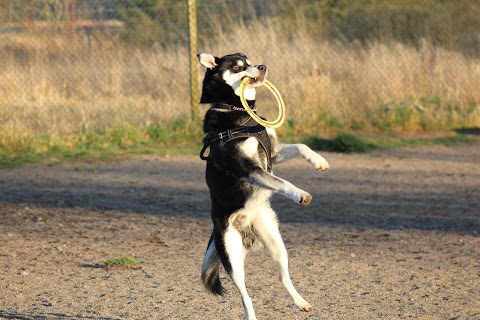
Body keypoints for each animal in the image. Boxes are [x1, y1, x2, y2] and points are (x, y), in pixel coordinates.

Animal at [197, 52, 328, 320]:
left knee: (283, 277)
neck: (239, 112)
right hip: (232, 257)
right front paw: (299, 194)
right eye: (238, 67)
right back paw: (252, 314)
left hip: (276, 243)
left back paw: (301, 302)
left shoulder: (274, 153)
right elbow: (281, 182)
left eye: (248, 59)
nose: (262, 66)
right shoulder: (249, 169)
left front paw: (320, 161)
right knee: (245, 295)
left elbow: (302, 146)